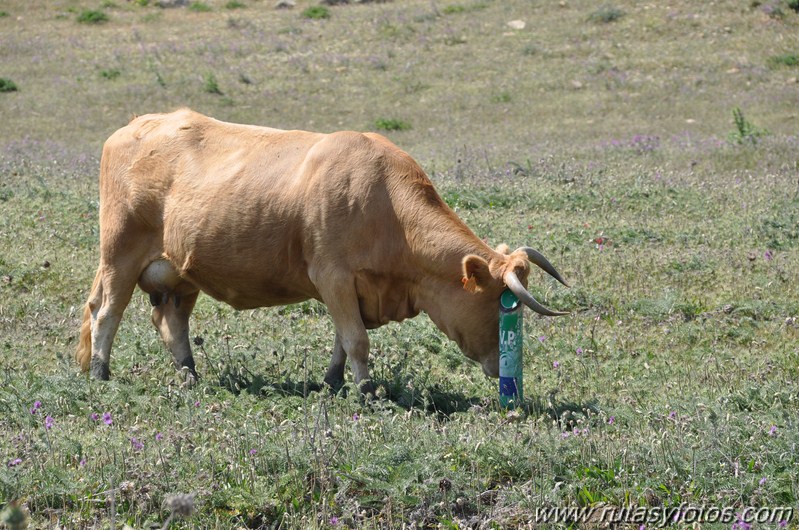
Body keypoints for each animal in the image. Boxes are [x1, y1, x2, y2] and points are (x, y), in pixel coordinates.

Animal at [75, 108, 568, 392]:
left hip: (180, 272)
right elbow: (357, 340)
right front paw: (366, 392)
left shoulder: (351, 288)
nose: (505, 370)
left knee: (170, 322)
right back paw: (101, 373)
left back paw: (190, 375)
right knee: (107, 312)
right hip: (119, 253)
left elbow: (342, 340)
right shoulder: (332, 275)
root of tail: (135, 126)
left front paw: (333, 382)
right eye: (500, 303)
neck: (386, 205)